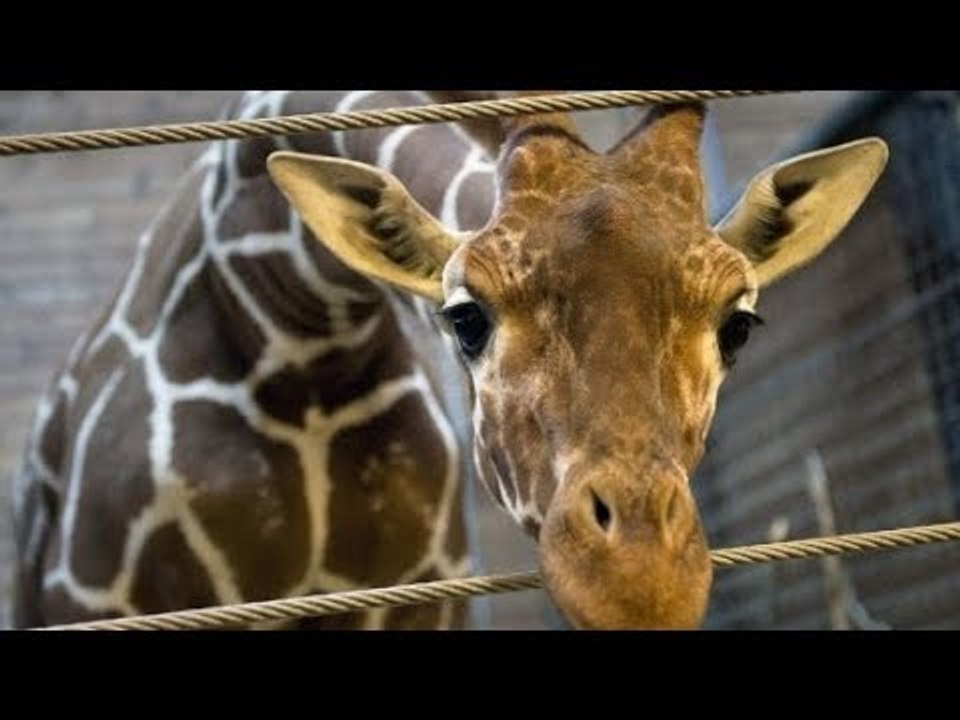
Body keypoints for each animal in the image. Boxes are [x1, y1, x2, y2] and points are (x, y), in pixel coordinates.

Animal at [10, 90, 888, 630]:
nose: (640, 585)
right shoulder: (108, 601)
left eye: (738, 324)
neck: (298, 336)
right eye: (466, 318)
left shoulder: (415, 600)